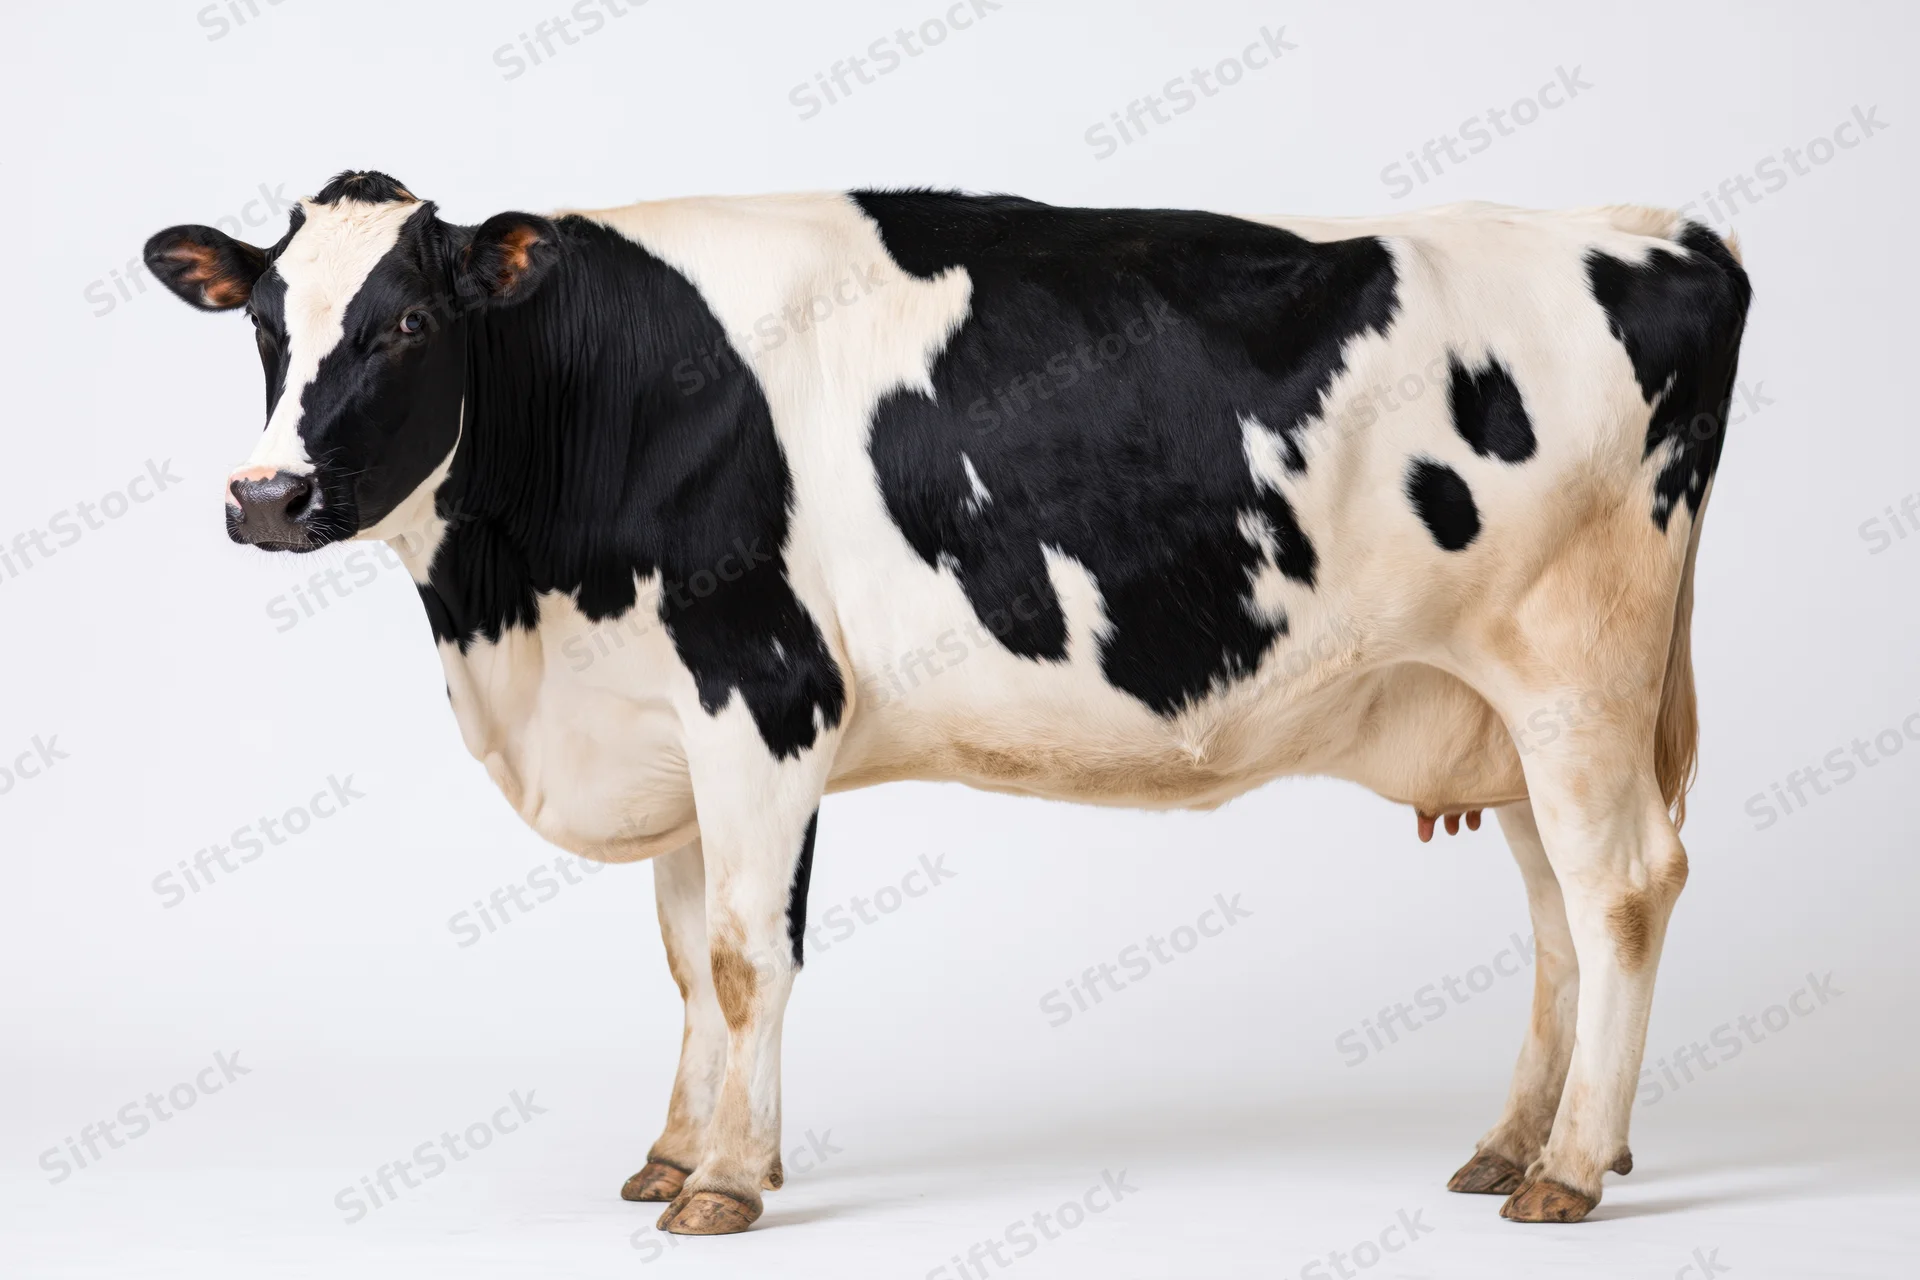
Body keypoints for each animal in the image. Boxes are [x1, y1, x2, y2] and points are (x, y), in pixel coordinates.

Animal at [145, 170, 1750, 1233]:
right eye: (268, 321)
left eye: (410, 323)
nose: (265, 496)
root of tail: (1662, 230)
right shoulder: (664, 719)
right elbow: (684, 960)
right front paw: (672, 1150)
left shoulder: (763, 690)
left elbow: (744, 958)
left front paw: (726, 1181)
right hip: (1504, 707)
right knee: (1557, 911)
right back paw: (1518, 1146)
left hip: (1579, 664)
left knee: (1625, 888)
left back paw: (1566, 1170)